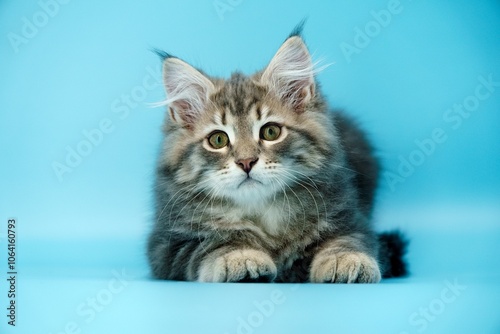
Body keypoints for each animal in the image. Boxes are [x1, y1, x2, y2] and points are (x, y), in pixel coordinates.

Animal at [147, 29, 406, 284]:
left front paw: (345, 259)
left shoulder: (349, 216)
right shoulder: (169, 244)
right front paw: (239, 256)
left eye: (270, 132)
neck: (263, 211)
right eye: (218, 140)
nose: (246, 162)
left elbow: (346, 239)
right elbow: (217, 242)